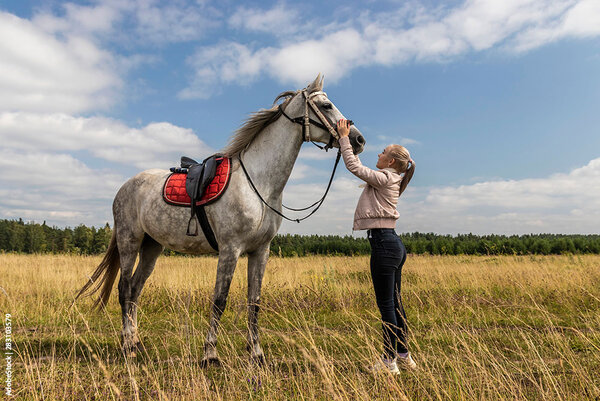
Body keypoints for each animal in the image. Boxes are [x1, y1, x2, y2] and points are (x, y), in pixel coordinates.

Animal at [75, 73, 366, 364]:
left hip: (152, 246)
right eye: (327, 106)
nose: (358, 140)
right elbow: (219, 300)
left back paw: (136, 343)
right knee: (125, 290)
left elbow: (254, 301)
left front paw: (256, 353)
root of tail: (125, 186)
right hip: (130, 242)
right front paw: (210, 354)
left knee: (135, 290)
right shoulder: (230, 249)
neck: (258, 183)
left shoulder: (260, 251)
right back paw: (127, 346)